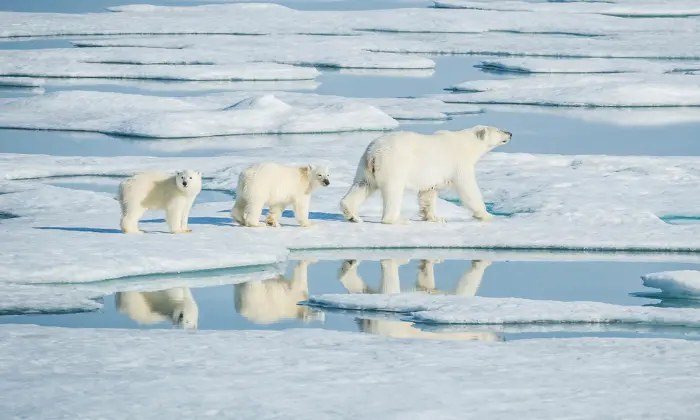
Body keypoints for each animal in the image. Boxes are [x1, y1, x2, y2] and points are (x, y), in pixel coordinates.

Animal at [340, 125, 512, 225]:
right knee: (393, 191)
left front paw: (435, 218)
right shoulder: (458, 163)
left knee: (363, 185)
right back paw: (397, 219)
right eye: (499, 130)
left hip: (365, 166)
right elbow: (467, 187)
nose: (510, 133)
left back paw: (352, 215)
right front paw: (486, 214)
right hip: (394, 164)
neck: (467, 144)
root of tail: (374, 153)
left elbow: (428, 193)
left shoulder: (433, 175)